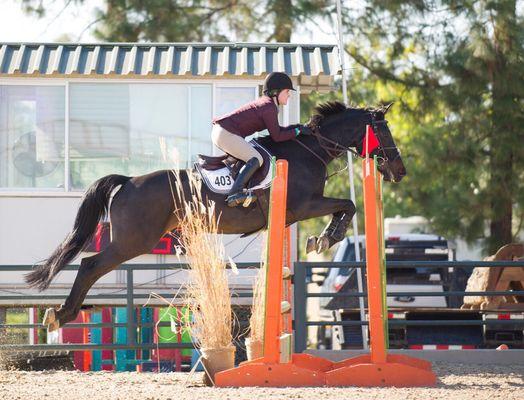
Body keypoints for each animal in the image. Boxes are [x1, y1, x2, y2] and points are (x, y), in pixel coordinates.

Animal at [26, 101, 408, 332]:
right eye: (385, 131)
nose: (399, 171)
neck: (308, 149)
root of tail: (129, 181)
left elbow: (345, 206)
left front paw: (323, 237)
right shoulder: (304, 205)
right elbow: (348, 204)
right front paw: (327, 237)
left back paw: (62, 313)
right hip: (134, 241)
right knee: (91, 265)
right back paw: (60, 314)